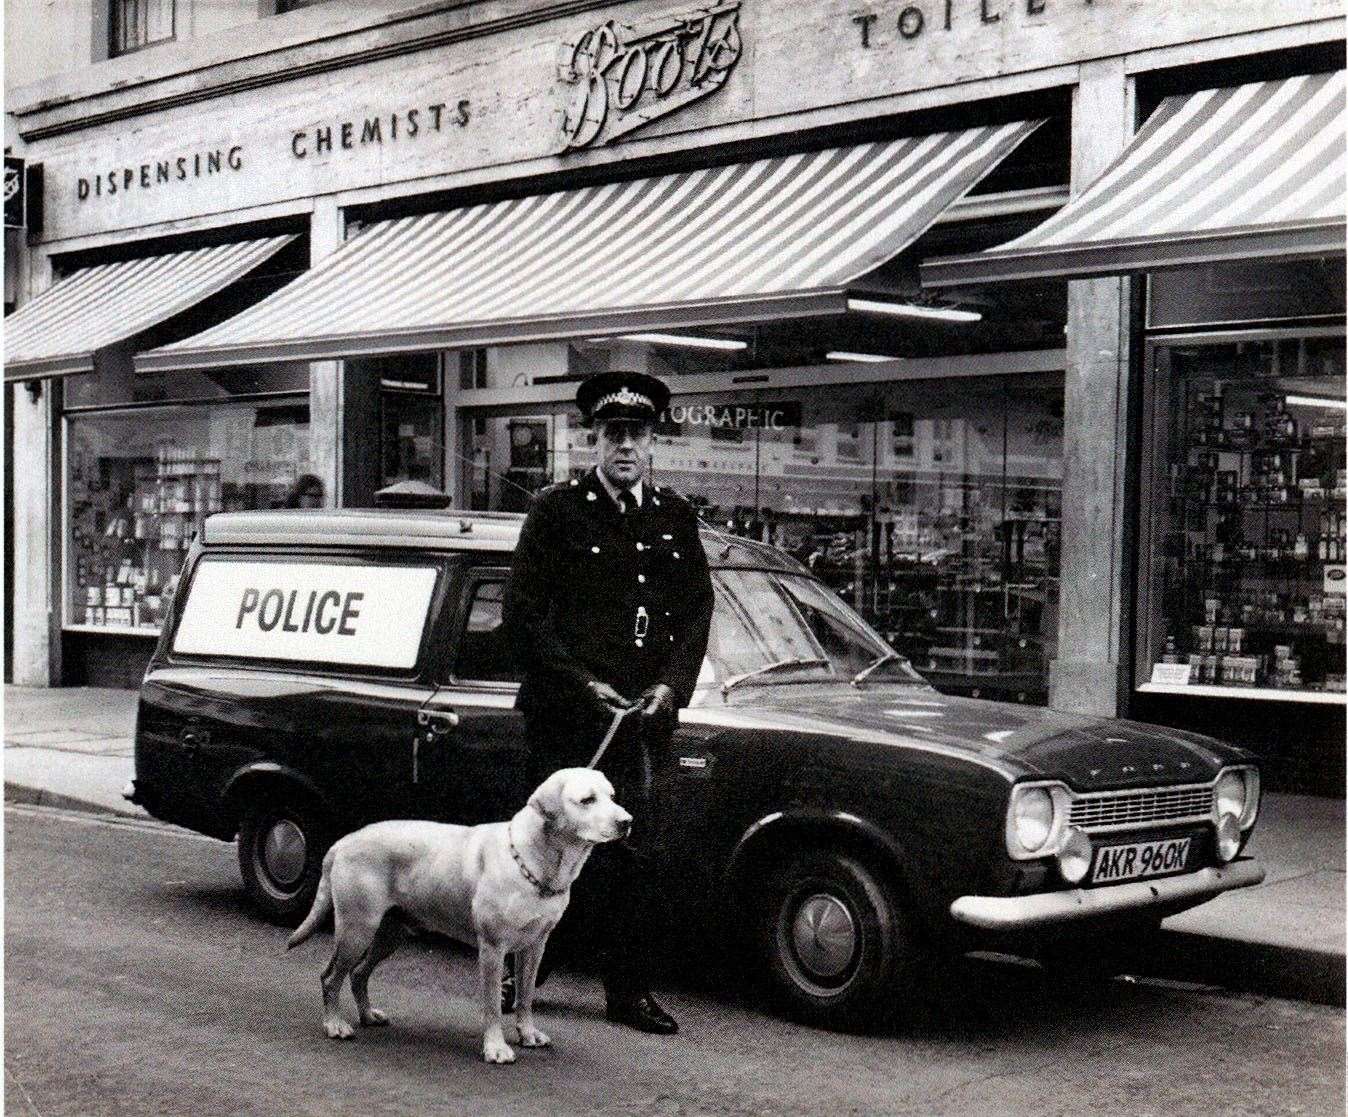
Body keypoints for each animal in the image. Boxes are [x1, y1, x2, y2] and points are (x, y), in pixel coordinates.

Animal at [285, 765, 630, 1061]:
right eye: (587, 800)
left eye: (612, 796)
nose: (627, 821)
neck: (534, 863)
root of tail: (344, 841)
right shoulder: (493, 948)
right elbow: (492, 1005)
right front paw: (496, 1047)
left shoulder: (535, 946)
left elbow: (526, 995)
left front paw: (528, 1033)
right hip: (357, 929)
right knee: (331, 976)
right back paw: (334, 1025)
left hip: (390, 934)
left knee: (358, 974)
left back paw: (368, 1015)